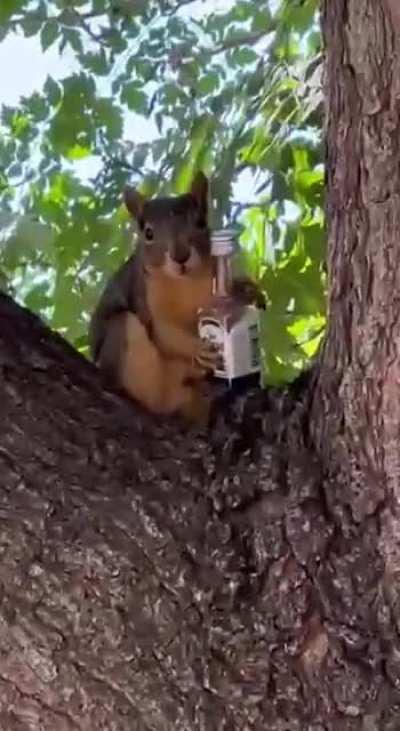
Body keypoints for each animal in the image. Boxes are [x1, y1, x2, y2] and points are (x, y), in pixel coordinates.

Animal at [89, 172, 264, 426]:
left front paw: (249, 289)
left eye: (200, 223)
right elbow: (165, 333)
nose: (180, 256)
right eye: (148, 233)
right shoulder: (148, 299)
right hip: (124, 339)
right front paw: (199, 350)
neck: (185, 282)